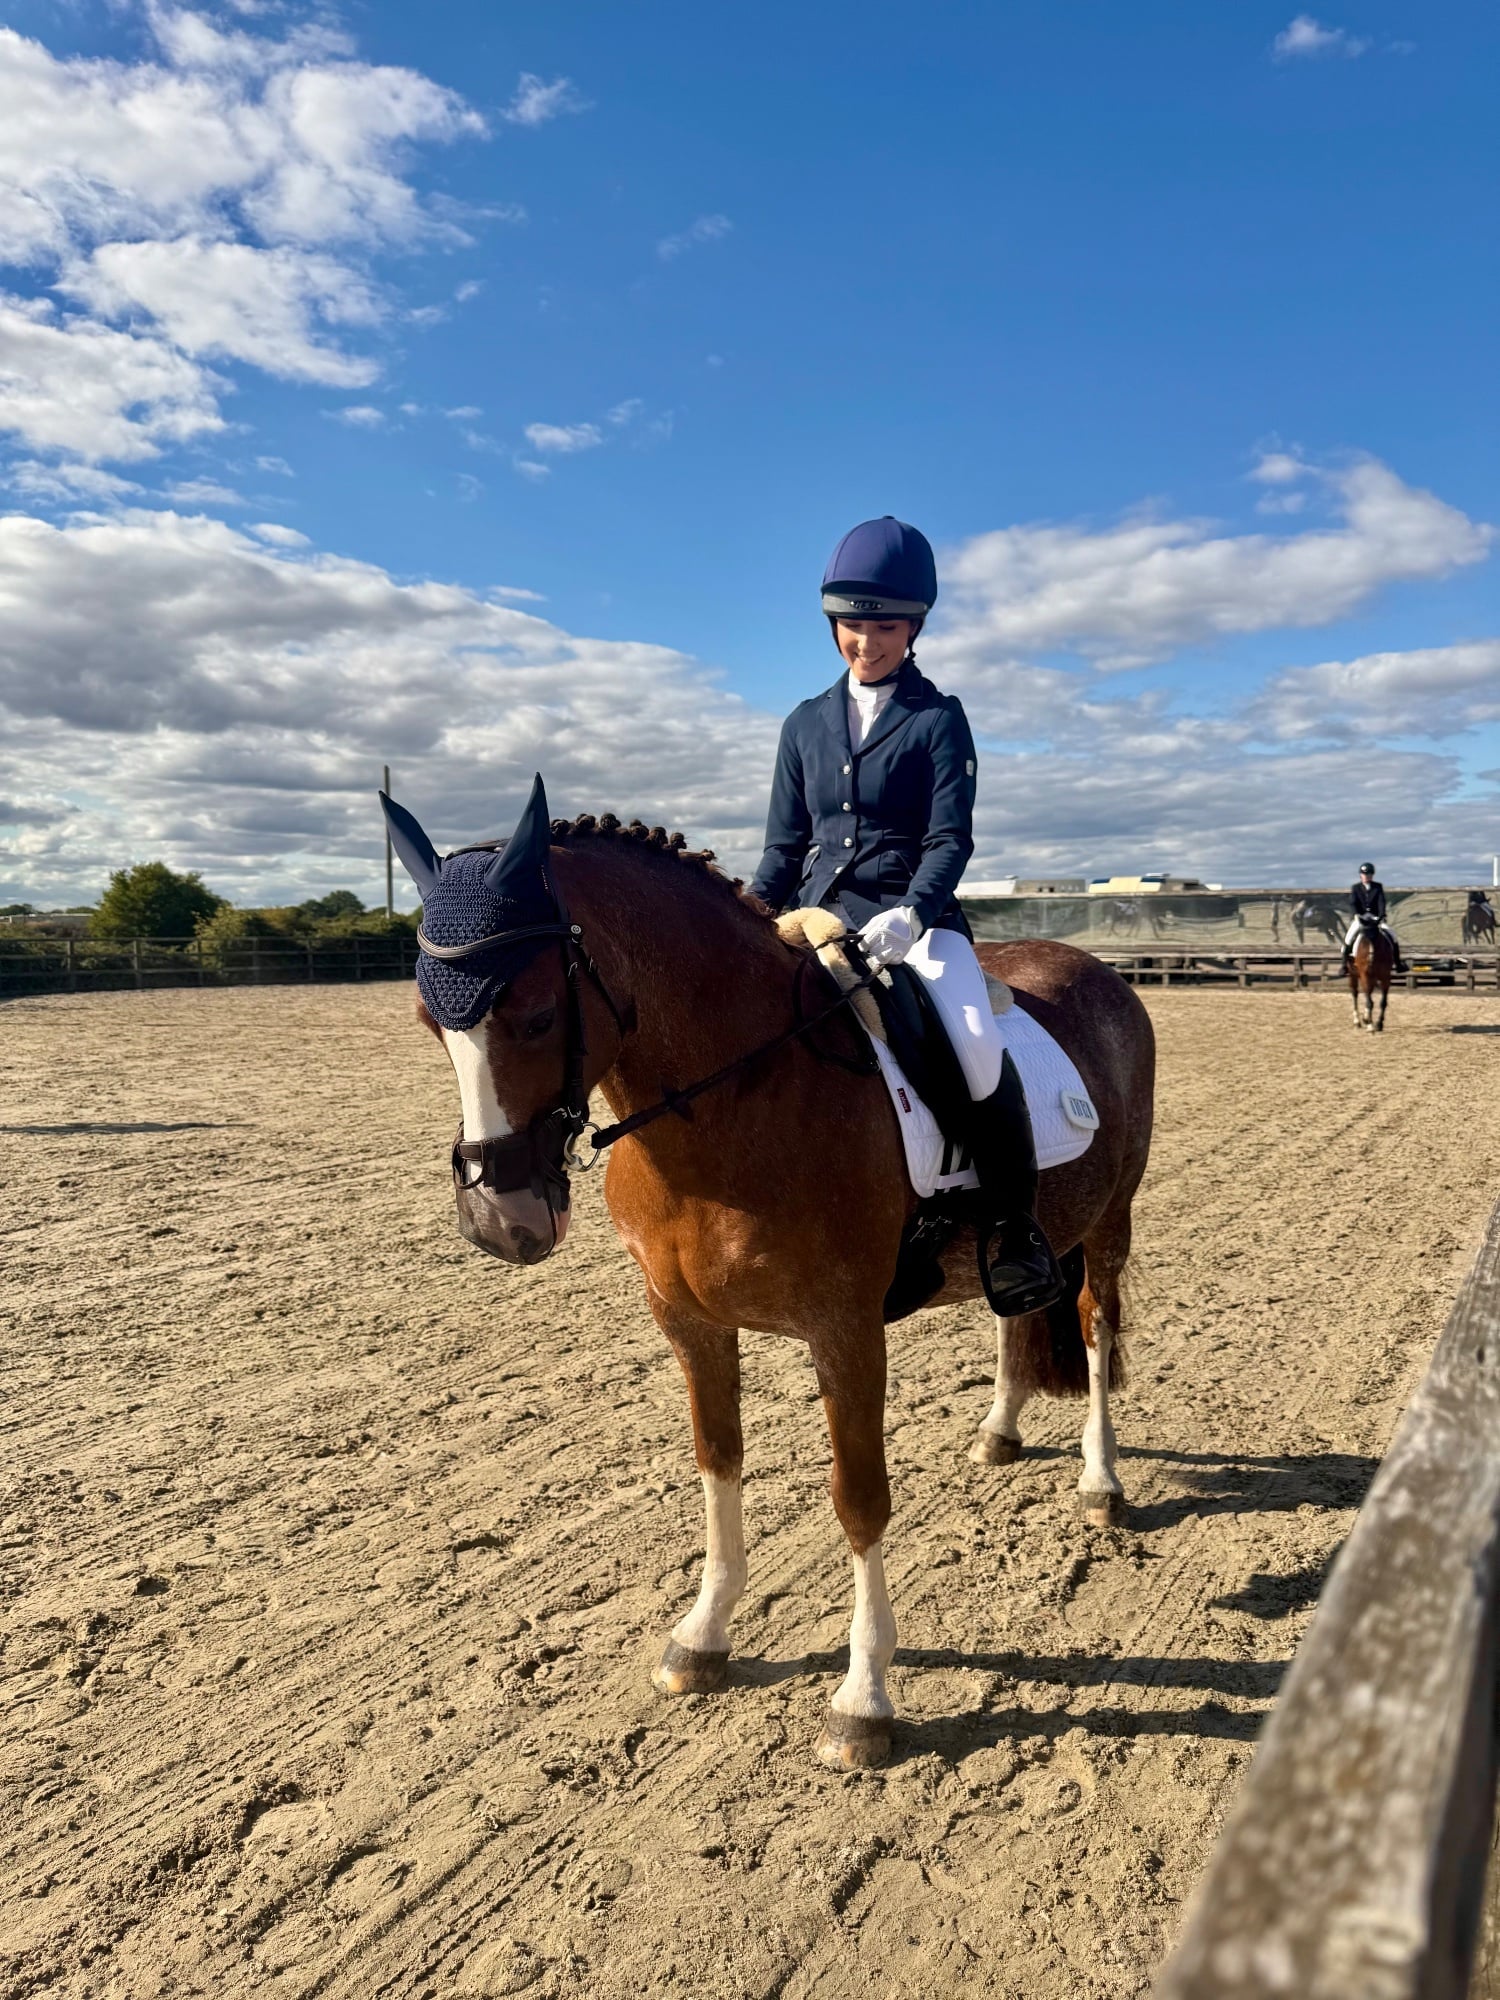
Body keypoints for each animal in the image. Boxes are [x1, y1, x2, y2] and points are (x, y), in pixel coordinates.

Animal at [382, 778, 1156, 1769]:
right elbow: (718, 1461)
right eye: (428, 1023)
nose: (500, 1223)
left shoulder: (846, 1330)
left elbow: (859, 1499)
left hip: (1111, 1217)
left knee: (1096, 1323)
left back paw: (1101, 1482)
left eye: (538, 1016)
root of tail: (1094, 968)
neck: (733, 1103)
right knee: (1016, 1311)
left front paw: (864, 1700)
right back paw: (999, 1431)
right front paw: (702, 1638)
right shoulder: (686, 1321)